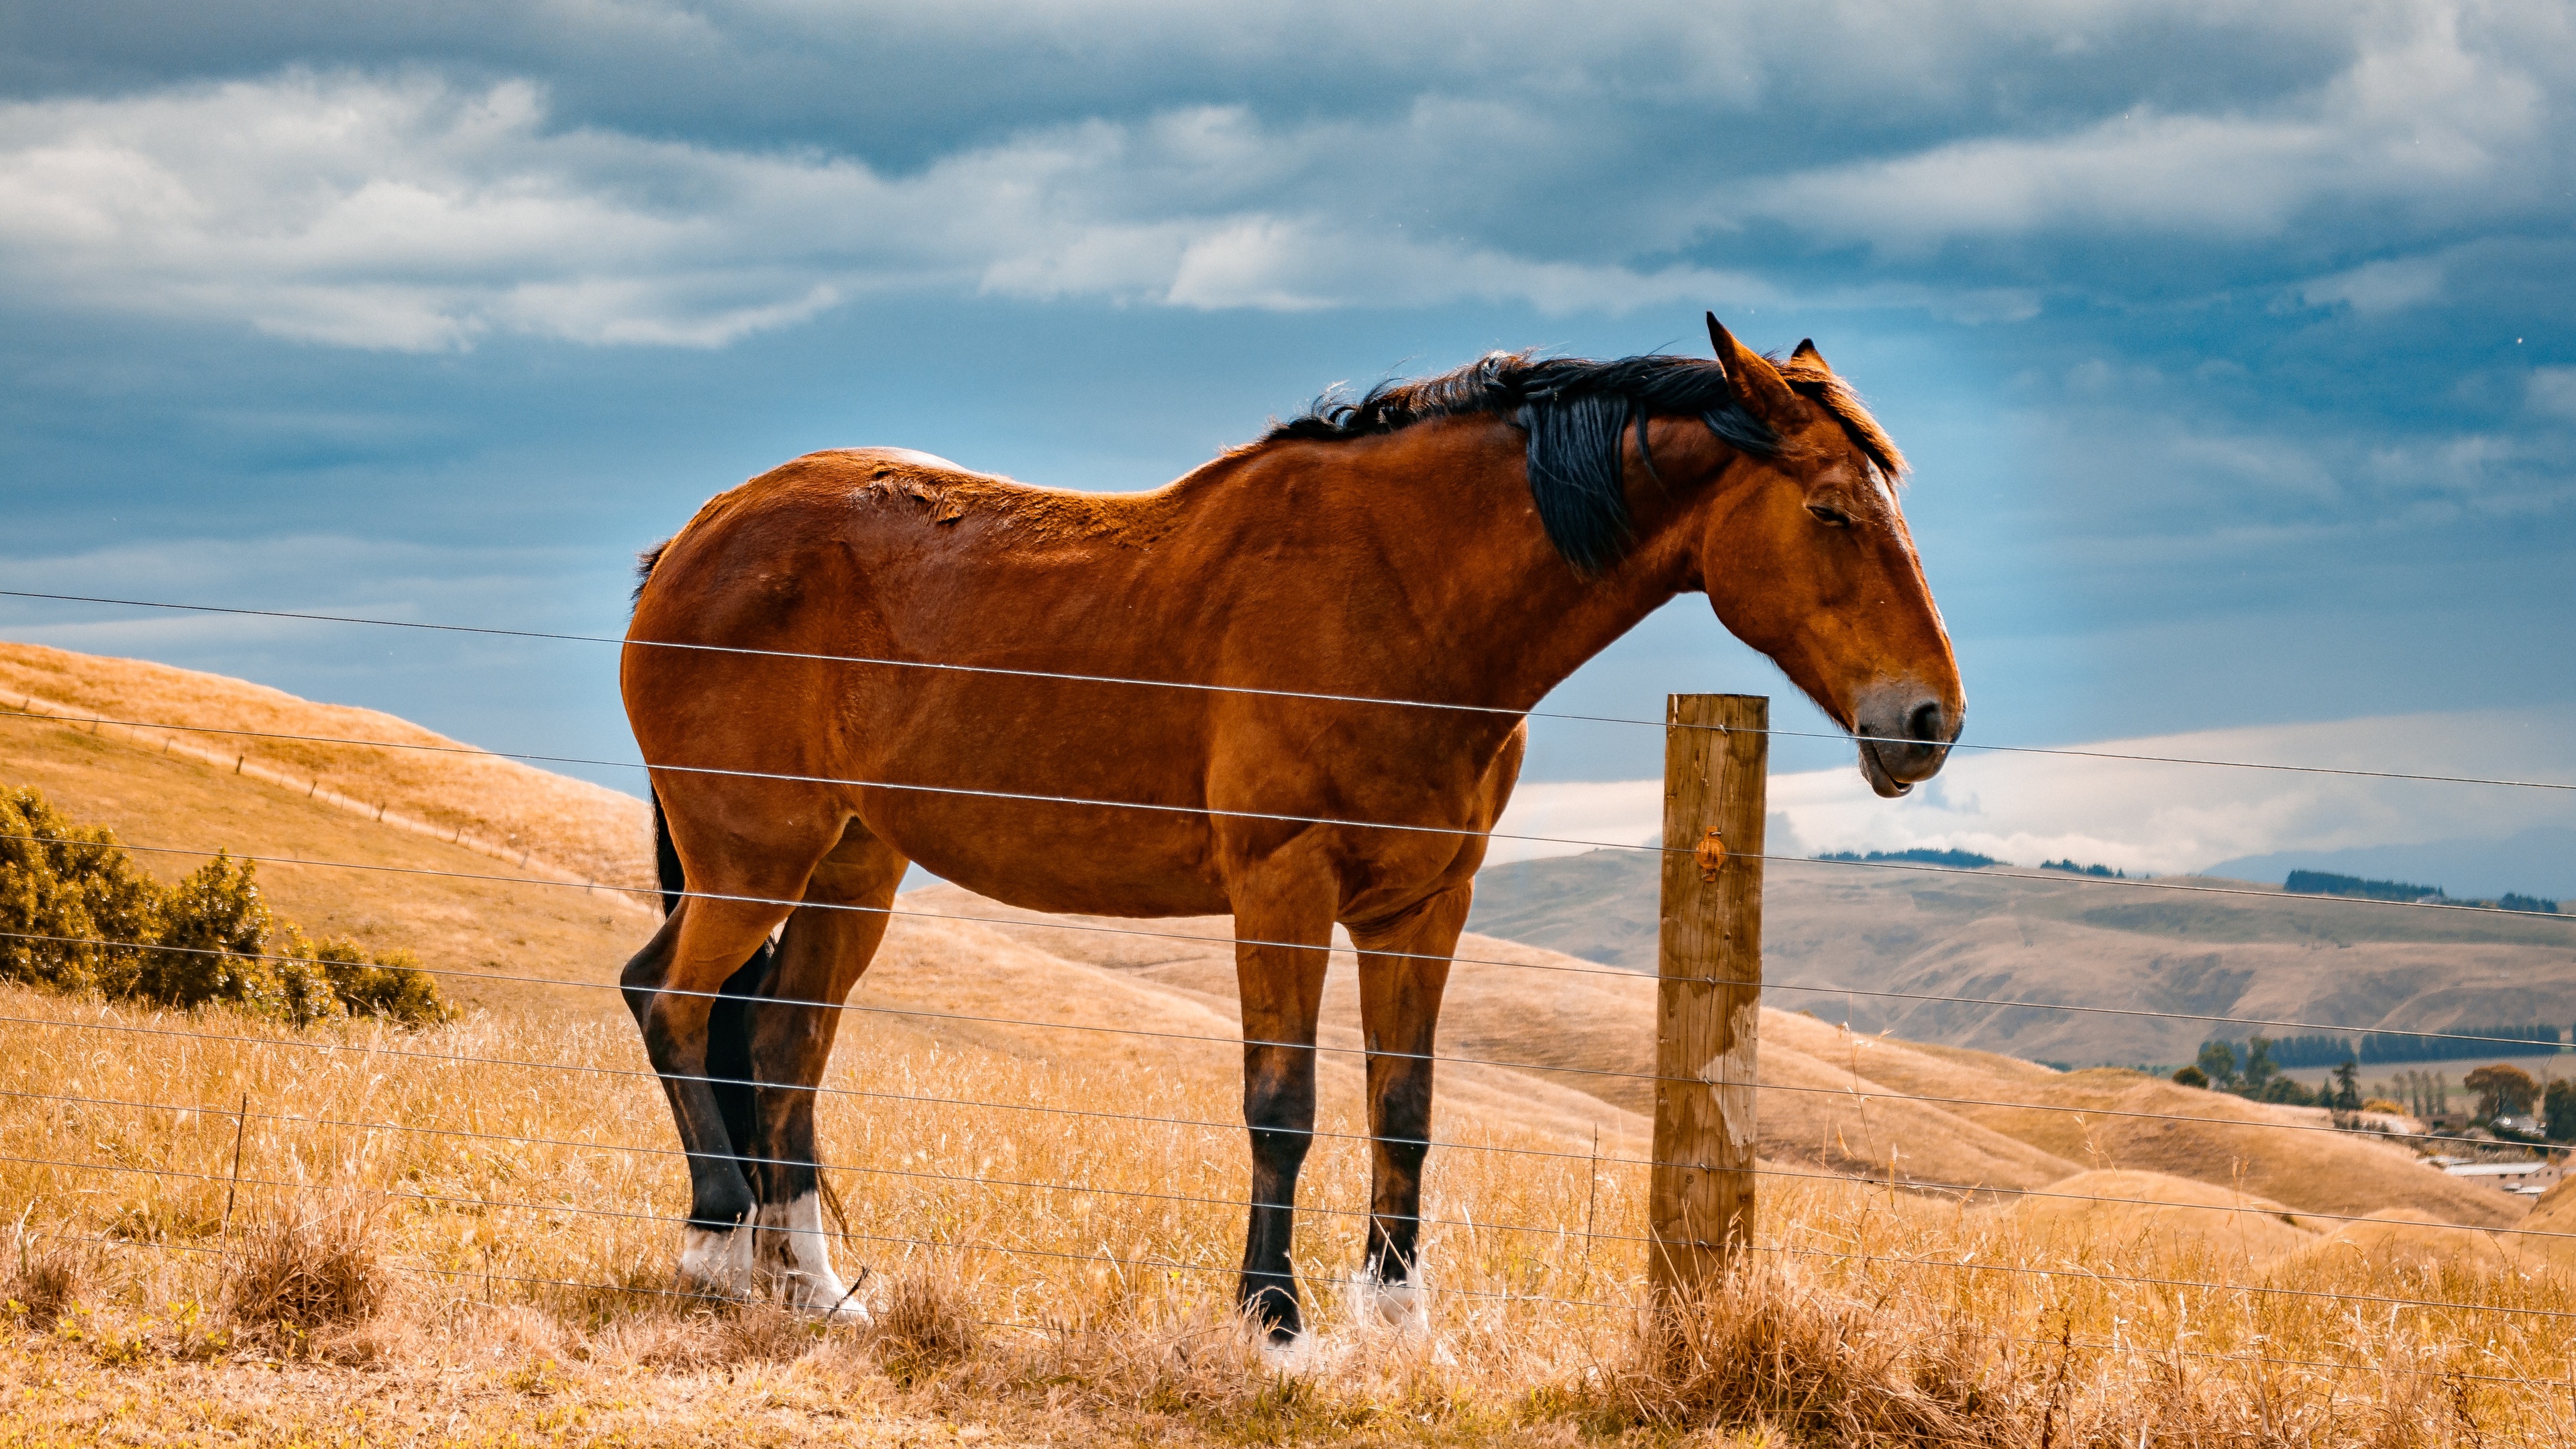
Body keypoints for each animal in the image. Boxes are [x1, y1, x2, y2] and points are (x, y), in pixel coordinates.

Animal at [618, 311, 1947, 1350]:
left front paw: (1402, 1329)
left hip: (853, 865)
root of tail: (695, 537)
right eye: (1832, 512)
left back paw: (815, 1290)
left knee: (783, 1042)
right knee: (670, 1003)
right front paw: (1273, 1321)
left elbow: (1404, 1111)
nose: (1930, 720)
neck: (1404, 596)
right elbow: (1284, 1106)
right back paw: (717, 1258)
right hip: (753, 863)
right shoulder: (1283, 889)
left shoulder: (1424, 905)